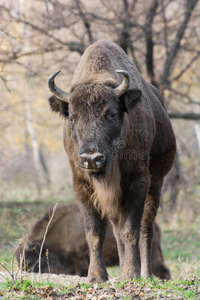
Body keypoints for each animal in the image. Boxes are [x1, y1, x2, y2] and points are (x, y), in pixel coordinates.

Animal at [16, 203, 171, 280]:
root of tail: (156, 227)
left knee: (163, 271)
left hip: (153, 257)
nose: (23, 271)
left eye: (28, 259)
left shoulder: (80, 260)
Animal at [47, 39, 176, 282]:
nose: (91, 158)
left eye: (112, 114)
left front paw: (131, 273)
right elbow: (95, 232)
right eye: (72, 117)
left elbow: (131, 229)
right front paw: (96, 276)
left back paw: (145, 274)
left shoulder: (138, 182)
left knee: (146, 229)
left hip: (156, 185)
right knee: (116, 231)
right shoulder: (82, 186)